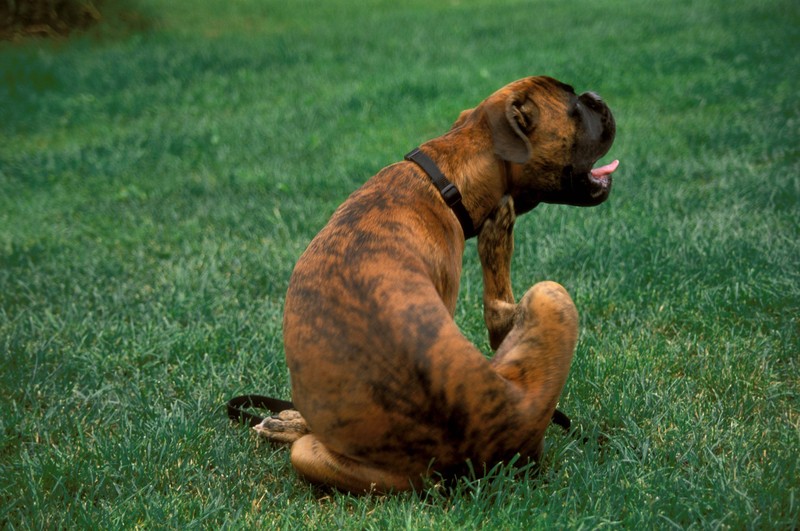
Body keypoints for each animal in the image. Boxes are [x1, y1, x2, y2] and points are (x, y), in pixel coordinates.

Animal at [256, 76, 620, 494]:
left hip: (311, 457)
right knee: (499, 311)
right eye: (575, 108)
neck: (446, 178)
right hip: (551, 295)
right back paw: (499, 233)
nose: (596, 97)